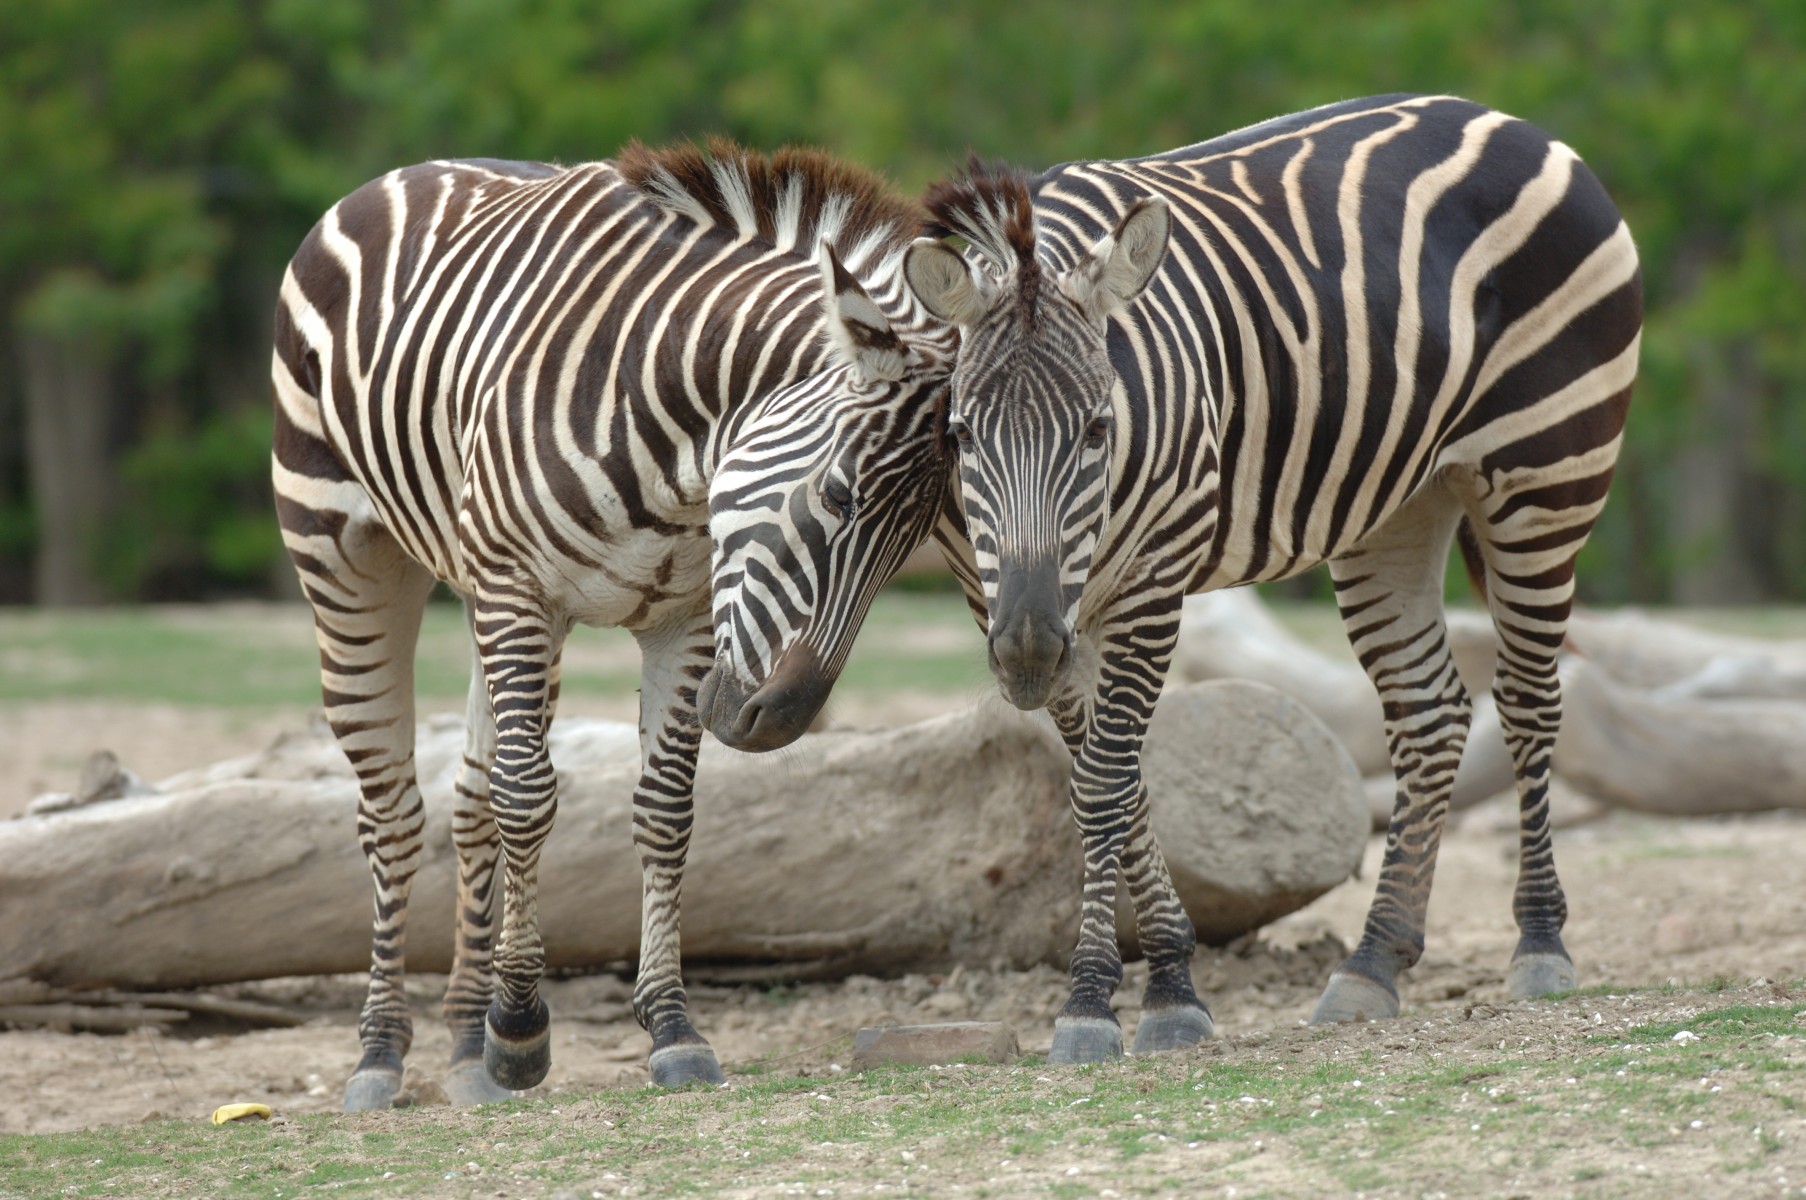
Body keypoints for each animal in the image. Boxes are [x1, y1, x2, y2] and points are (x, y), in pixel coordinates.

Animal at [271, 140, 952, 1108]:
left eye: (910, 549)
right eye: (836, 494)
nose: (775, 721)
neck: (685, 444)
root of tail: (413, 169)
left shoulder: (684, 617)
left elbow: (663, 810)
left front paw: (670, 1027)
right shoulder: (519, 590)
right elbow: (528, 797)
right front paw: (521, 1029)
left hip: (484, 597)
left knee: (469, 797)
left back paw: (464, 1050)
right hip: (348, 561)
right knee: (392, 812)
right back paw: (380, 1055)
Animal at [895, 94, 1642, 1061]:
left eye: (1098, 428)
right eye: (959, 434)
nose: (1025, 653)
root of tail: (1508, 120)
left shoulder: (1152, 582)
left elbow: (1103, 787)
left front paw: (1094, 1003)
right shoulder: (1023, 605)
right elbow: (1118, 783)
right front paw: (1171, 983)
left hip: (1549, 473)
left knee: (1528, 700)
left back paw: (1541, 945)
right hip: (1396, 503)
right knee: (1431, 712)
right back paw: (1372, 963)